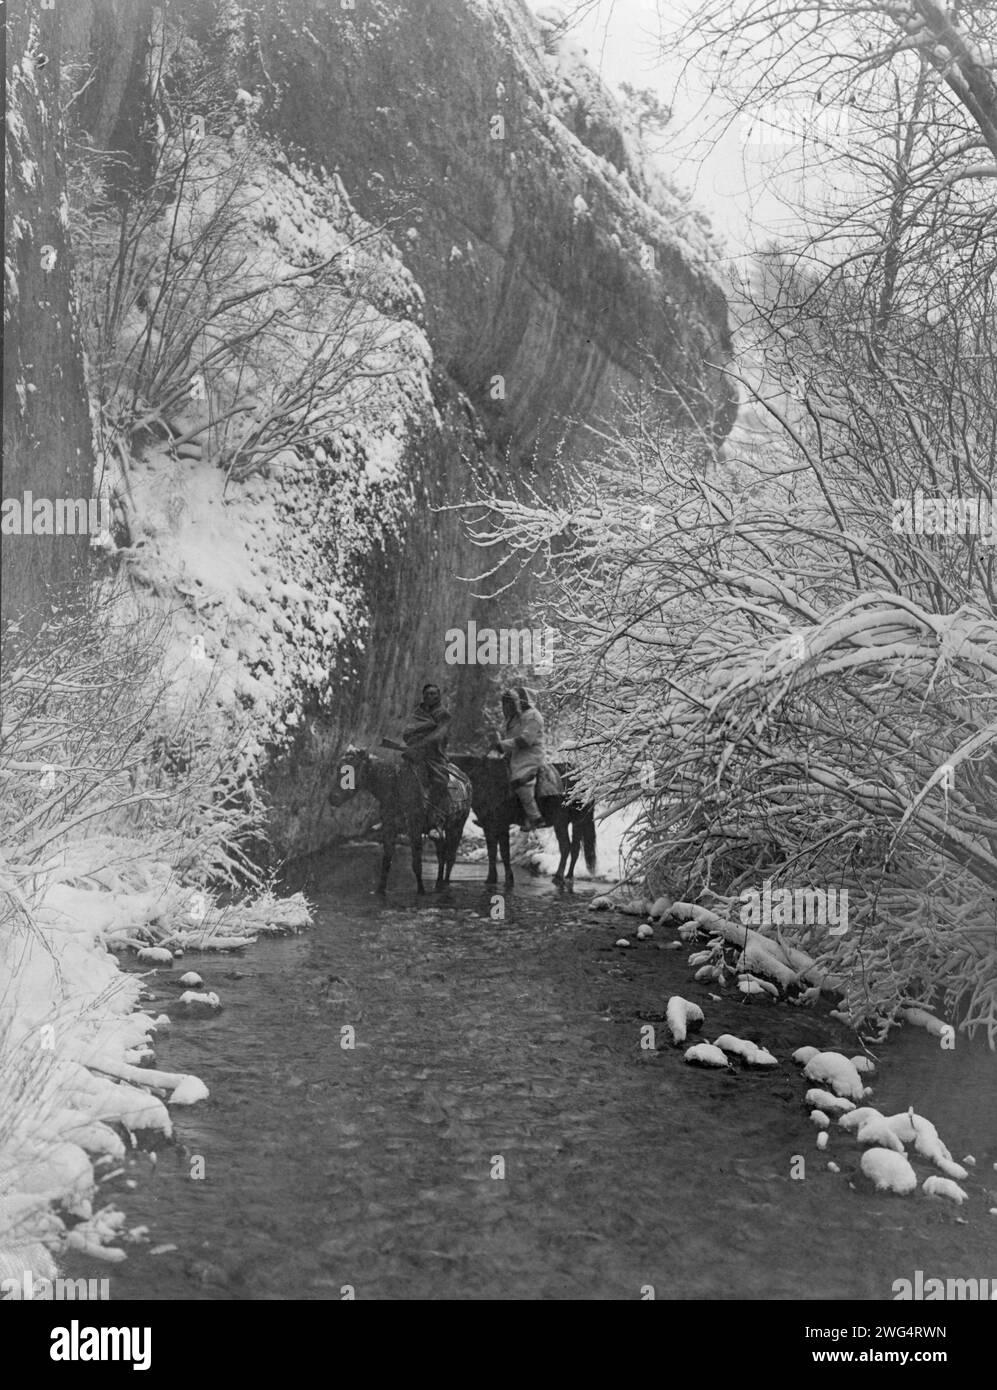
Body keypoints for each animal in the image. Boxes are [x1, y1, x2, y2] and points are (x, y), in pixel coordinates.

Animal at [326, 750, 467, 889]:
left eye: (352, 768)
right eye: (338, 768)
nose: (333, 798)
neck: (397, 788)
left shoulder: (415, 831)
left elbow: (417, 865)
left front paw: (421, 891)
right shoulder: (389, 830)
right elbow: (386, 863)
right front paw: (380, 891)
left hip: (457, 828)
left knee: (450, 857)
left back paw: (445, 883)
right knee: (441, 855)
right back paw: (439, 883)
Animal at [447, 756, 595, 884]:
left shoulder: (502, 825)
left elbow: (504, 852)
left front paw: (508, 879)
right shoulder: (489, 826)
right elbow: (492, 852)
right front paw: (491, 879)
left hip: (561, 823)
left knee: (565, 847)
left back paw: (558, 877)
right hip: (577, 822)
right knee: (575, 848)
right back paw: (569, 876)